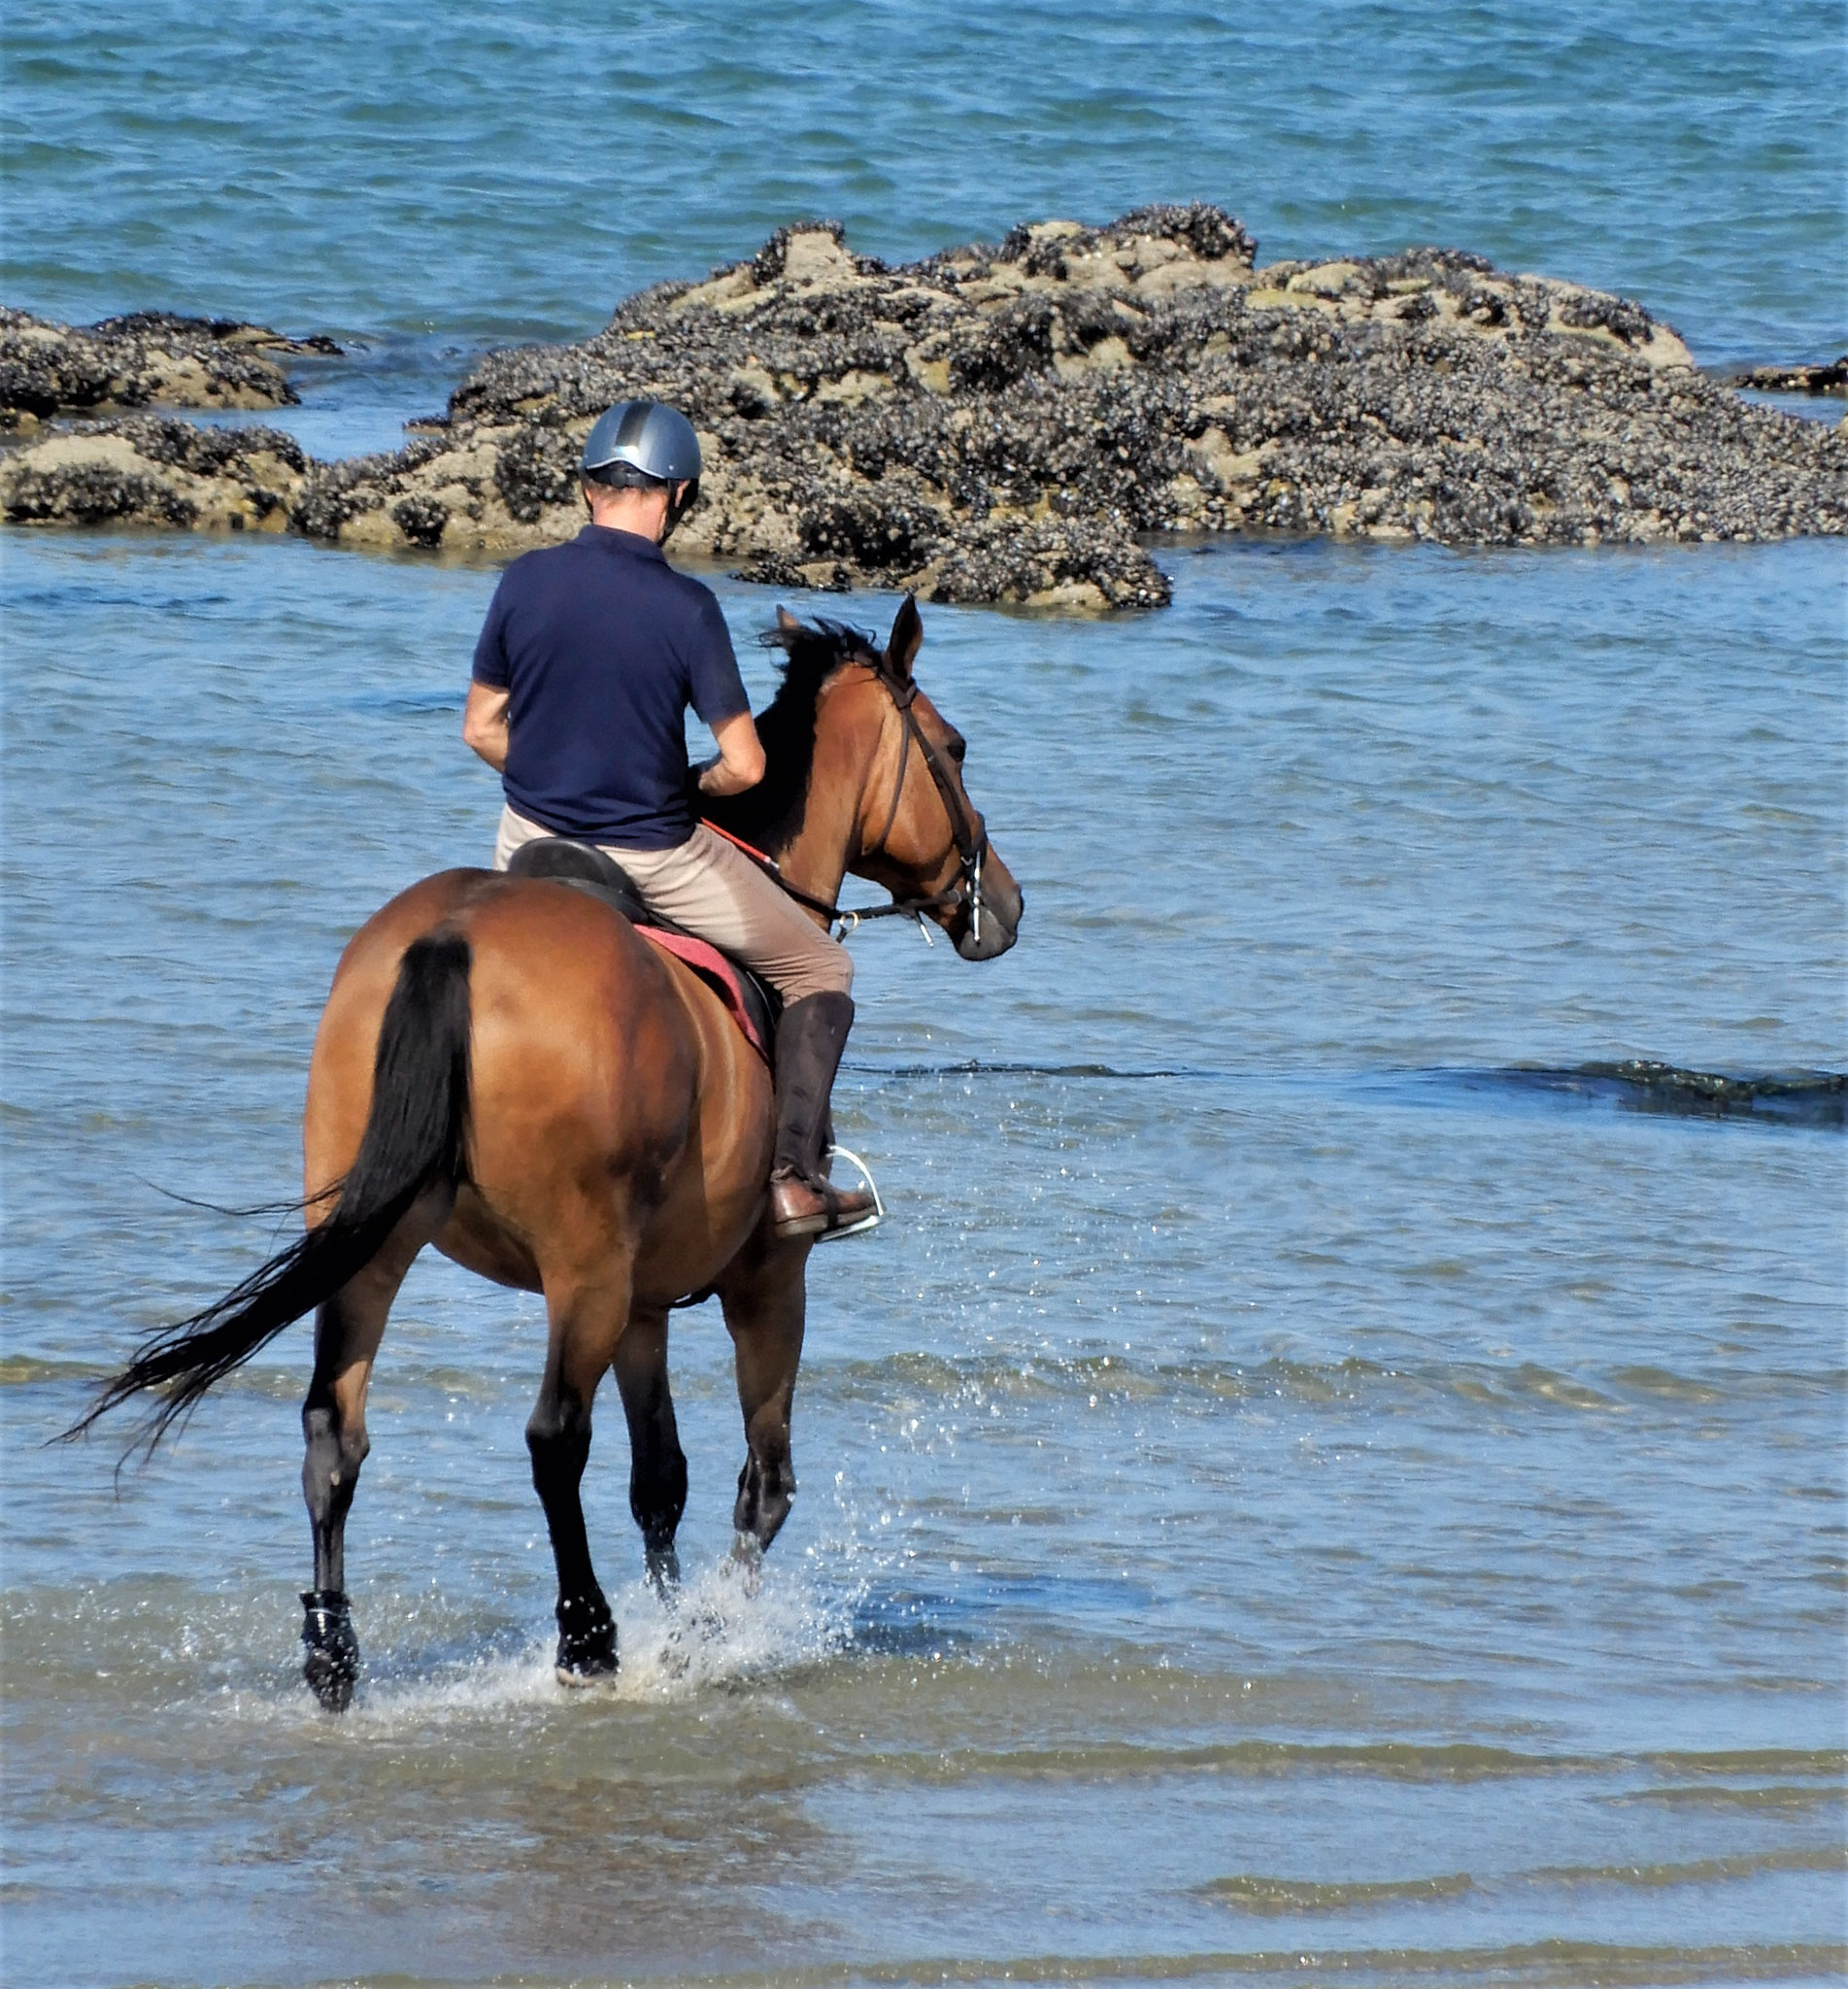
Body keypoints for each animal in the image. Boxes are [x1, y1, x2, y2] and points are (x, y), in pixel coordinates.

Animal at [72, 589, 1025, 1710]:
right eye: (954, 750)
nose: (1003, 906)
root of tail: (455, 936)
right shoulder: (763, 1278)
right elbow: (760, 1482)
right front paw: (707, 1634)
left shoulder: (648, 1301)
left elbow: (660, 1480)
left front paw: (677, 1620)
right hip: (584, 1271)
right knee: (552, 1439)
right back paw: (587, 1637)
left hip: (379, 1245)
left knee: (332, 1429)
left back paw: (333, 1657)